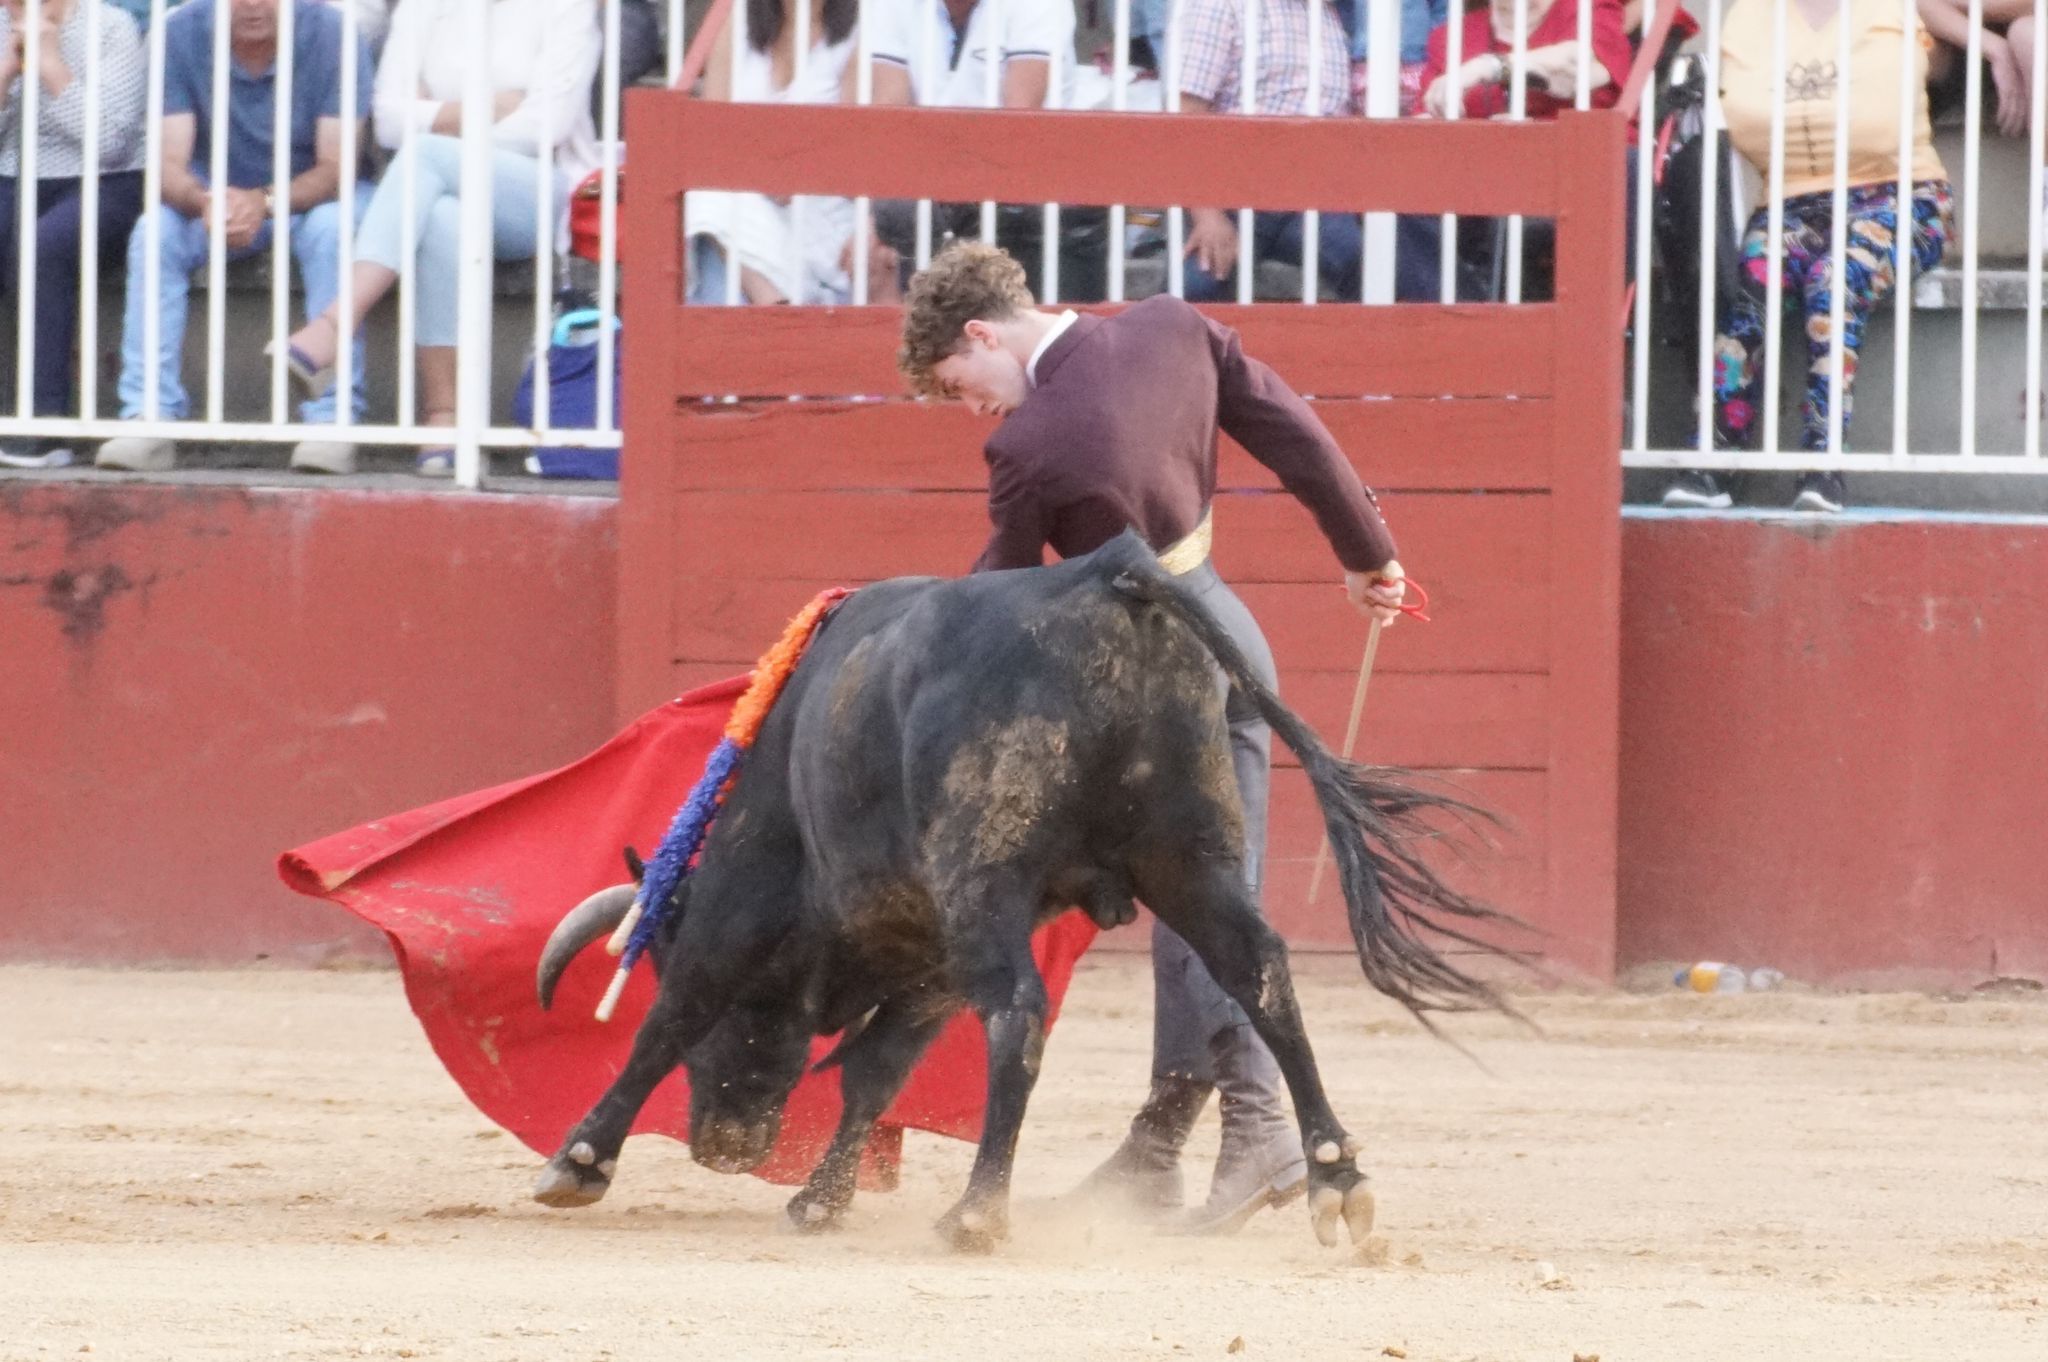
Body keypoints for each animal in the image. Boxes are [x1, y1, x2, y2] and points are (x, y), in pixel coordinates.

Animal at [528, 532, 1523, 1253]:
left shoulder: (743, 915)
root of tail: (1111, 577)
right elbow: (875, 1072)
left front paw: (578, 1161)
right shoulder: (930, 959)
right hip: (1190, 858)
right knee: (1262, 975)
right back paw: (1335, 1178)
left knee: (1017, 1010)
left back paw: (977, 1213)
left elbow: (673, 1023)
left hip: (991, 881)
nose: (725, 1148)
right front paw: (820, 1201)